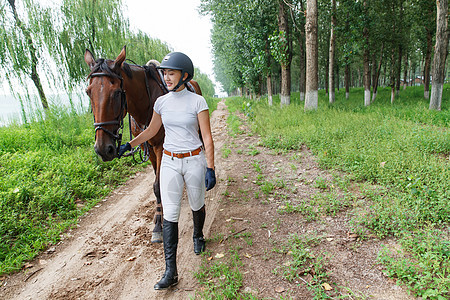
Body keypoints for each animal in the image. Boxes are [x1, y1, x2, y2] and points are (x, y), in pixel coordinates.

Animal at [84, 46, 202, 241]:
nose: (103, 149)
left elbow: (157, 185)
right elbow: (157, 183)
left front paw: (158, 225)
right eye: (88, 92)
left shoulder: (161, 146)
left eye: (117, 92)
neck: (147, 103)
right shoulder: (150, 149)